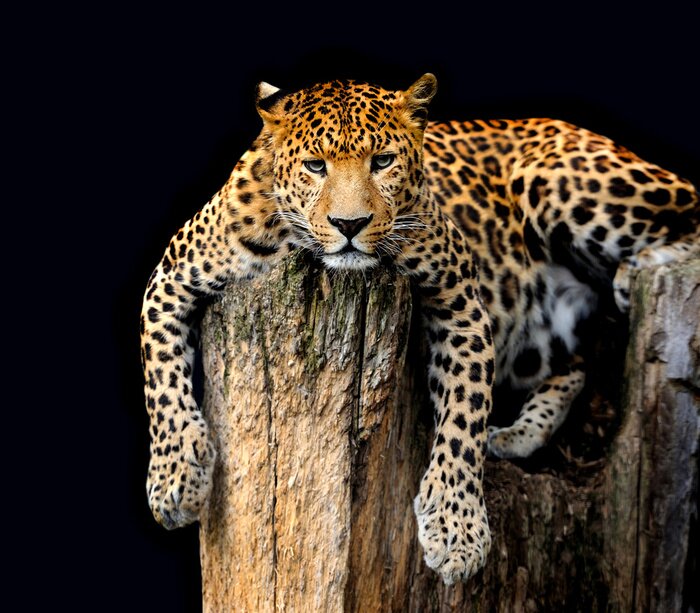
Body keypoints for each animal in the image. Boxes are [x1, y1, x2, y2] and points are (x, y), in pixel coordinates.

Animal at [140, 73, 700, 586]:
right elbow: (161, 382)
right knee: (576, 364)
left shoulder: (460, 298)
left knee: (690, 215)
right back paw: (516, 434)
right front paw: (175, 480)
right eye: (316, 165)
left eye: (383, 161)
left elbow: (464, 414)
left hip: (564, 180)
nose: (350, 225)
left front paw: (457, 531)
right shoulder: (168, 280)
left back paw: (634, 272)